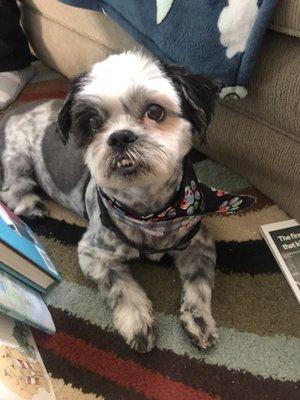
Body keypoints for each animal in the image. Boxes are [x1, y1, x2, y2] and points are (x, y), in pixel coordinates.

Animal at [0, 51, 253, 352]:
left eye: (155, 111)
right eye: (93, 122)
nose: (120, 136)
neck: (149, 214)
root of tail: (14, 112)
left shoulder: (199, 243)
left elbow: (199, 284)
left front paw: (198, 320)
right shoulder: (93, 253)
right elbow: (122, 287)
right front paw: (138, 323)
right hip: (18, 158)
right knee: (12, 189)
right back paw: (32, 206)